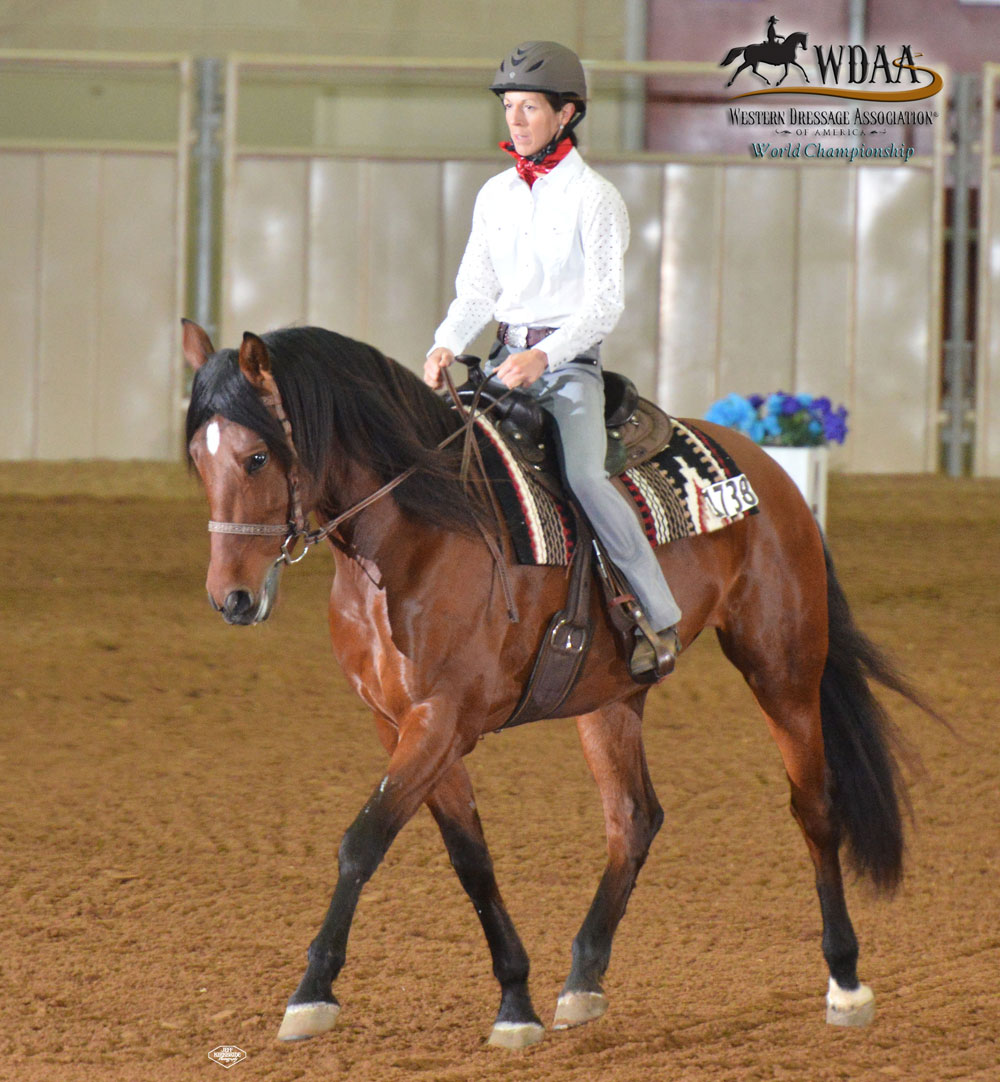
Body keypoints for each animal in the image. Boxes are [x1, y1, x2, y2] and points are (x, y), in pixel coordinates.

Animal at [181, 318, 922, 1047]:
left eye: (257, 458)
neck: (415, 535)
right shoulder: (400, 725)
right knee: (634, 819)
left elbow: (361, 842)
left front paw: (311, 992)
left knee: (815, 808)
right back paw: (583, 980)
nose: (231, 599)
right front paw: (516, 1000)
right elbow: (469, 857)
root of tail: (769, 472)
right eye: (196, 457)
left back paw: (846, 981)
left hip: (783, 668)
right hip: (609, 701)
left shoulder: (441, 720)